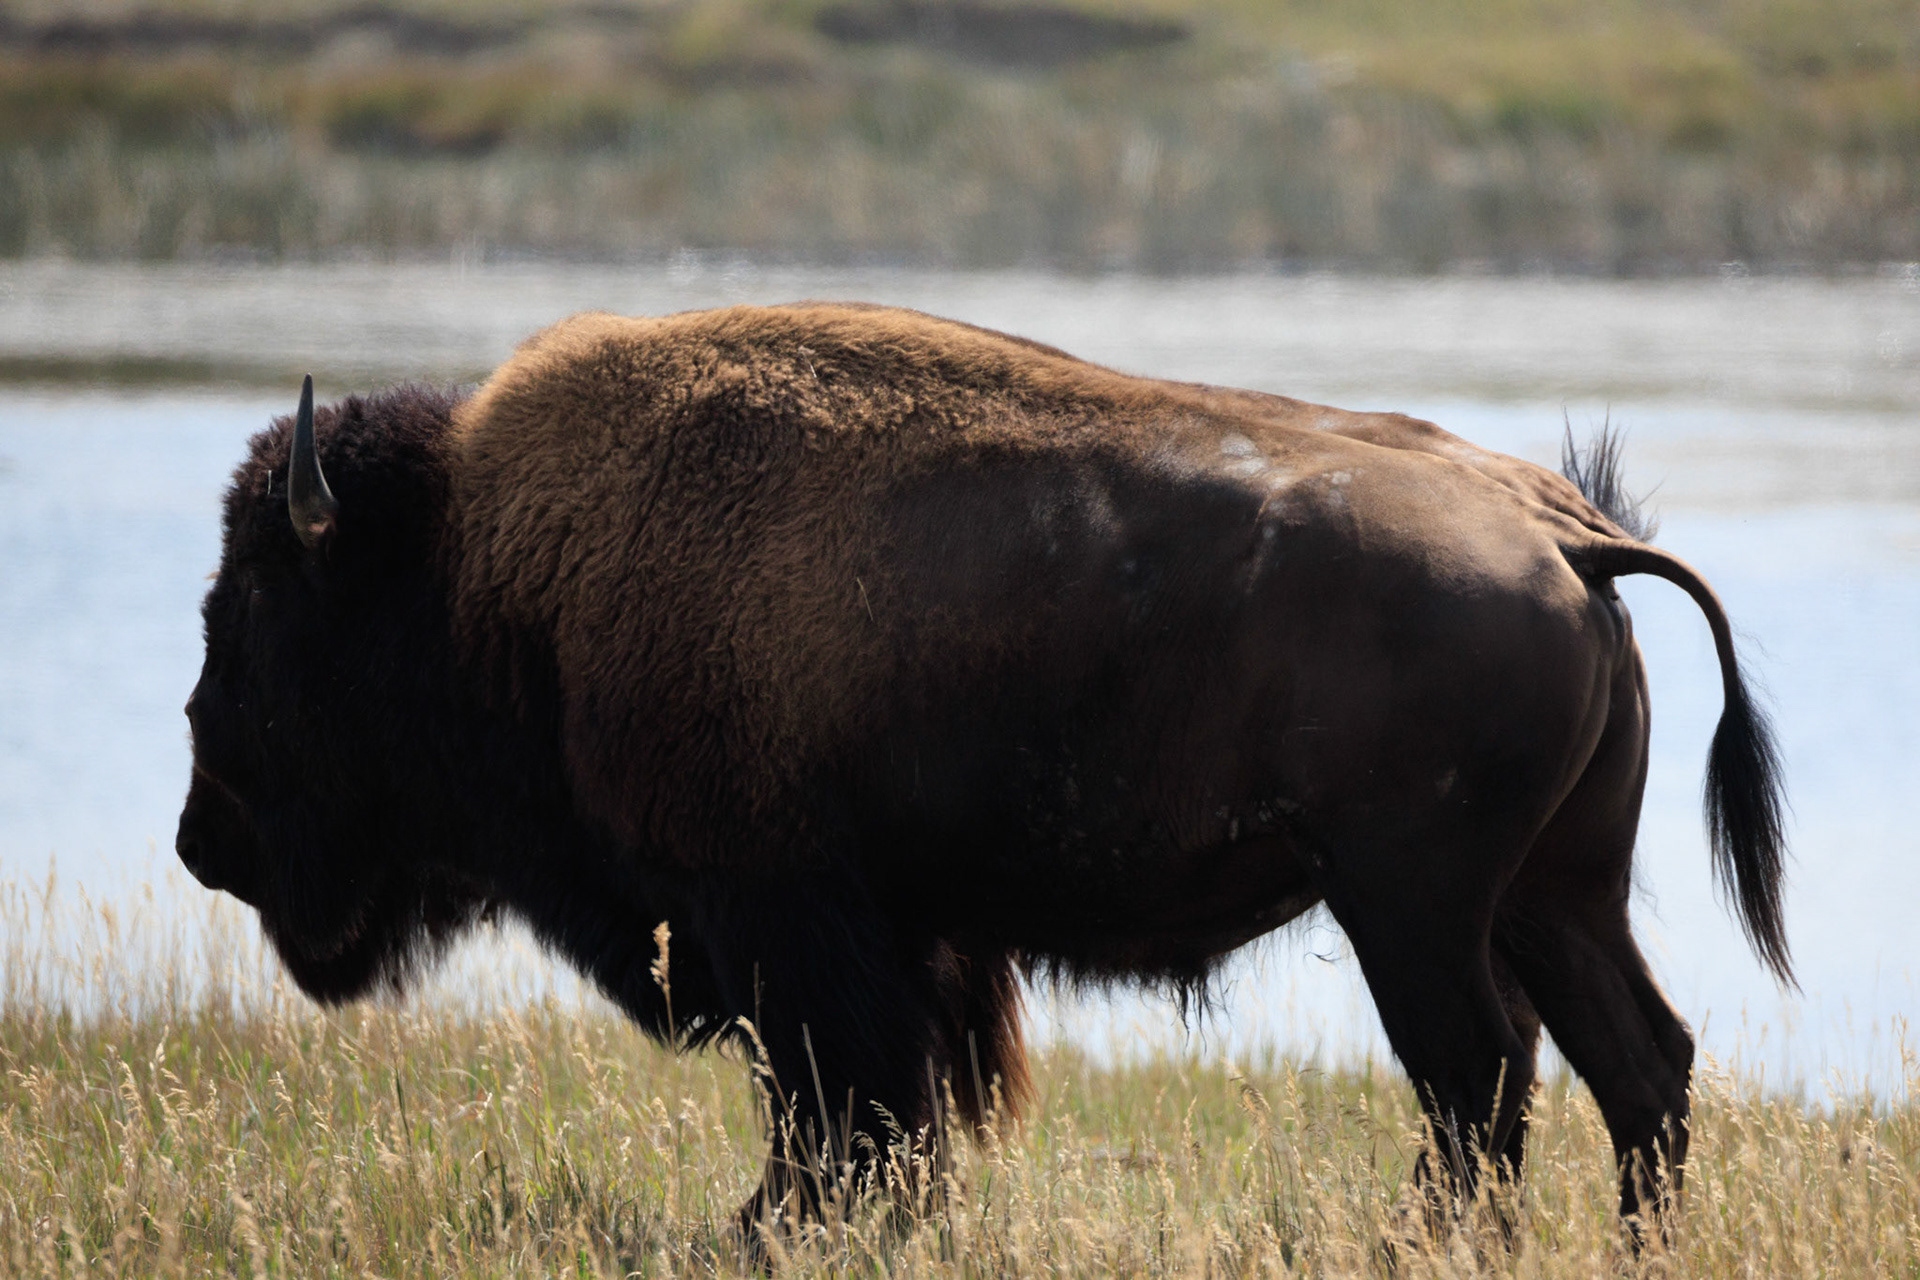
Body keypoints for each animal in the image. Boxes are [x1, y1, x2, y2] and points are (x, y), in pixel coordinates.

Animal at [177, 303, 1787, 1238]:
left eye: (254, 605)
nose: (205, 838)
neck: (485, 569)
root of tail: (1565, 532)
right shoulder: (891, 935)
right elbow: (875, 1103)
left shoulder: (785, 921)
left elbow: (844, 1098)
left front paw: (783, 1224)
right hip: (1558, 895)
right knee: (1636, 1064)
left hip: (1416, 907)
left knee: (1480, 1076)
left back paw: (1424, 1245)